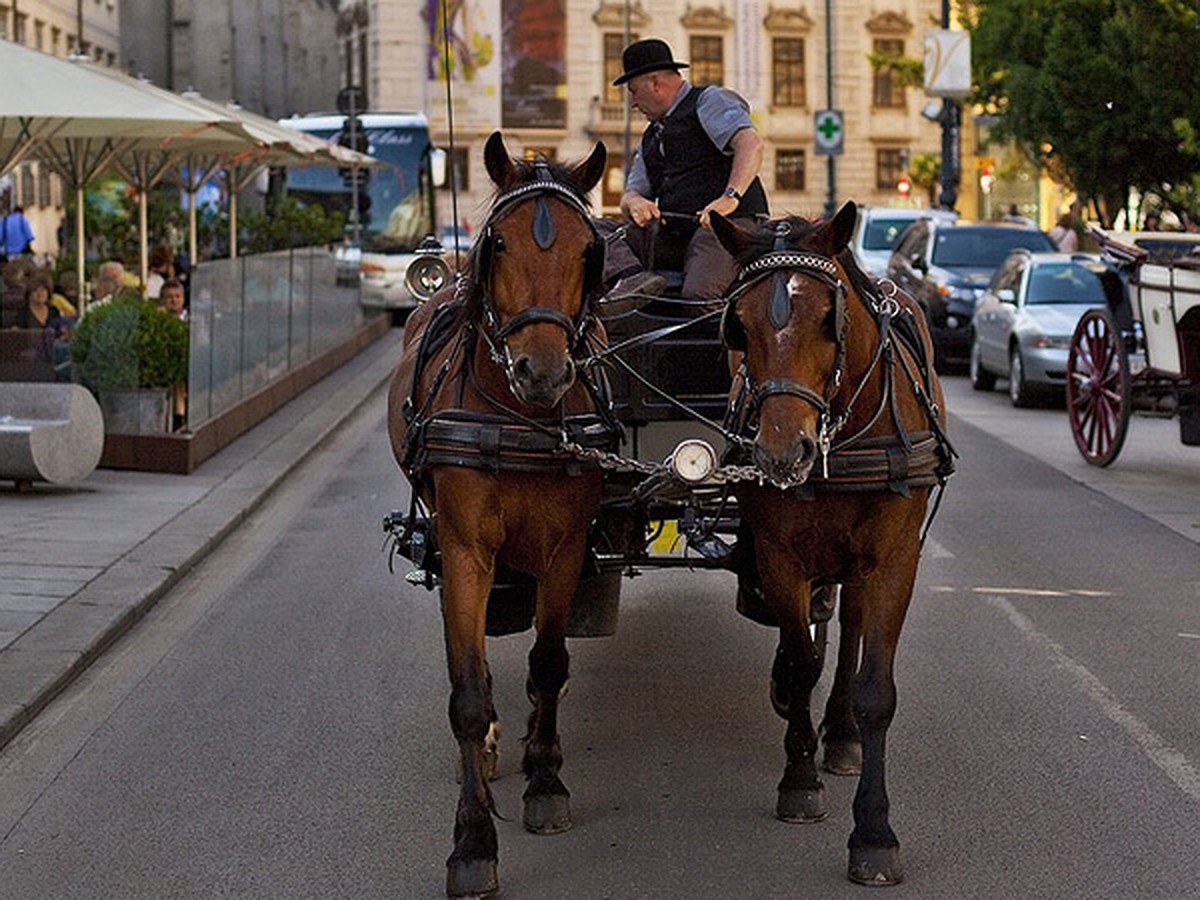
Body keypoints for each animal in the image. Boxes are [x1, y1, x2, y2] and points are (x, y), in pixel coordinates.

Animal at [386, 130, 614, 897]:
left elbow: (547, 660)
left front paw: (546, 781)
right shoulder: (463, 549)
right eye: (501, 243)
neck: (519, 418)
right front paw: (472, 842)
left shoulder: (566, 546)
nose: (540, 371)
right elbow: (467, 689)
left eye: (588, 248)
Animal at [710, 202, 955, 888]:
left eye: (828, 316)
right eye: (737, 326)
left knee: (849, 632)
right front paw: (799, 781)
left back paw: (841, 734)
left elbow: (875, 689)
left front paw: (873, 831)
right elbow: (798, 665)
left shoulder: (894, 560)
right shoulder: (779, 557)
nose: (780, 452)